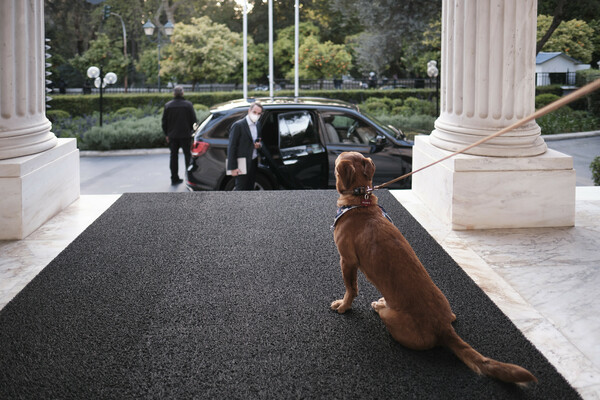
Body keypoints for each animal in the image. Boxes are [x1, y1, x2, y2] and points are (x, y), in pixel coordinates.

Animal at [330, 151, 536, 384]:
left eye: (337, 162)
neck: (360, 201)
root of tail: (443, 328)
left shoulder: (347, 260)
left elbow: (351, 289)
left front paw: (343, 306)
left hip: (390, 317)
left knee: (384, 313)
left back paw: (379, 304)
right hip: (446, 307)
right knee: (453, 317)